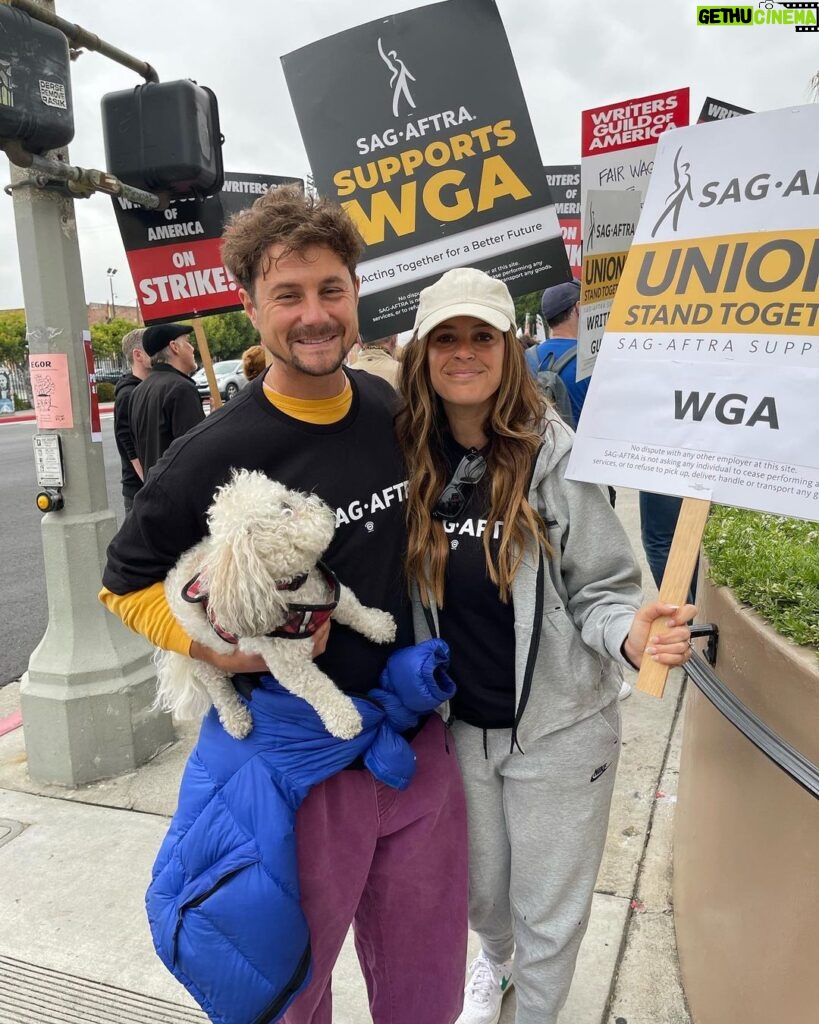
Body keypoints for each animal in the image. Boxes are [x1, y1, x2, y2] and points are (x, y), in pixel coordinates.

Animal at [155, 468, 399, 741]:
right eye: (286, 507)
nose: (315, 501)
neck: (297, 590)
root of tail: (173, 575)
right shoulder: (289, 667)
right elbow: (318, 687)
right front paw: (344, 718)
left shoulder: (329, 593)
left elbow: (353, 608)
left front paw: (379, 626)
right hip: (203, 649)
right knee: (215, 684)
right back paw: (235, 718)